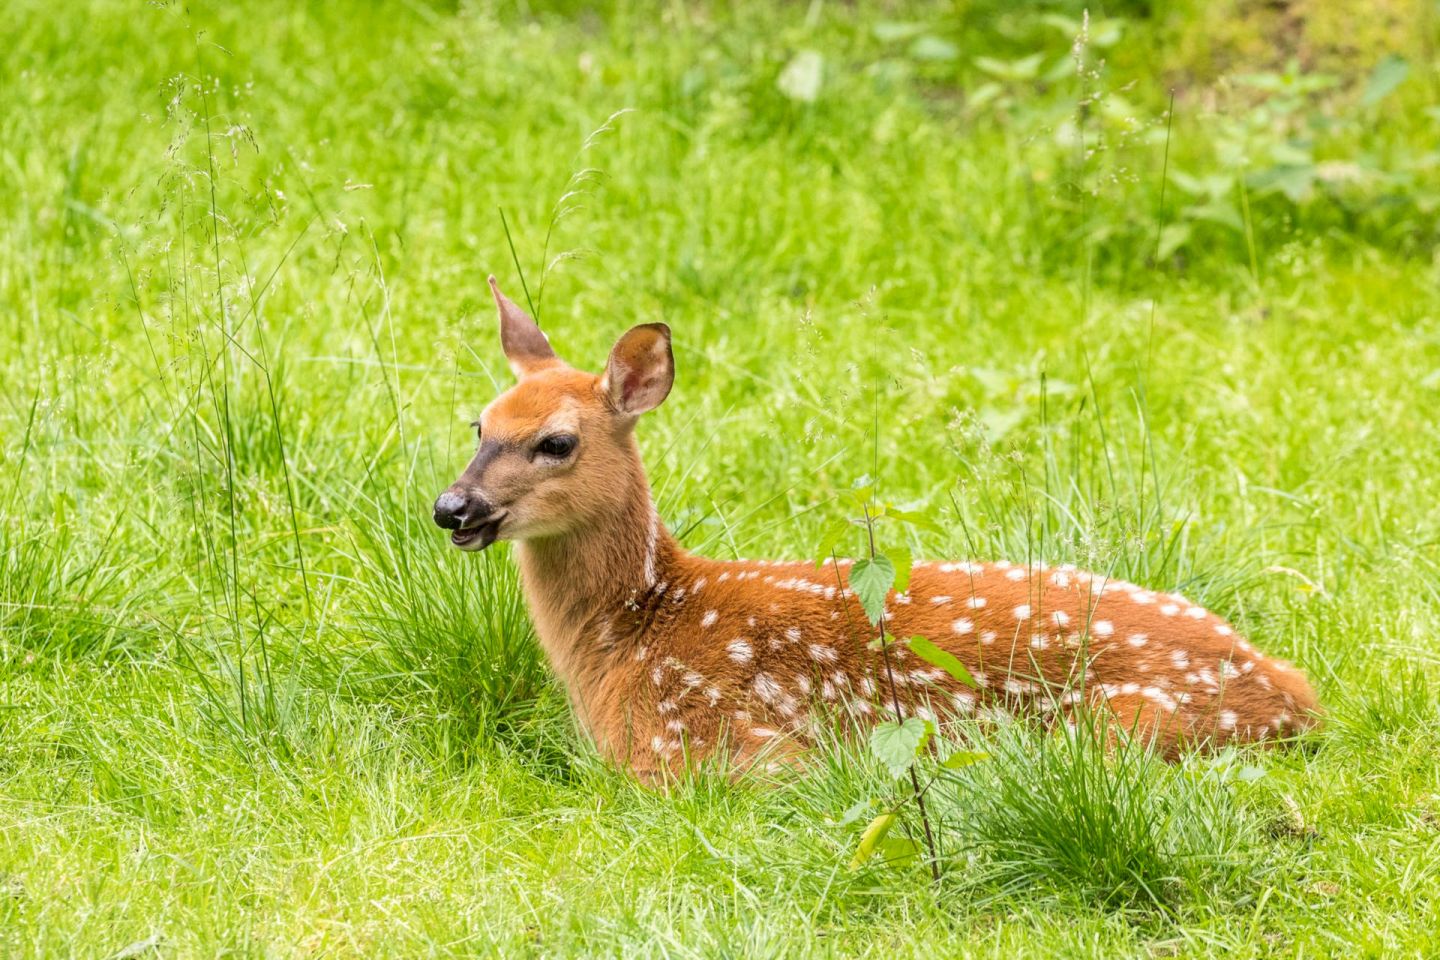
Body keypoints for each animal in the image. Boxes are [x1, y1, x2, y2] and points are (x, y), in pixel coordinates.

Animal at [432, 276, 1319, 782]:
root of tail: (1294, 696)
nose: (453, 509)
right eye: (479, 424)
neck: (640, 628)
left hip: (1117, 724)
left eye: (557, 442)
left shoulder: (715, 749)